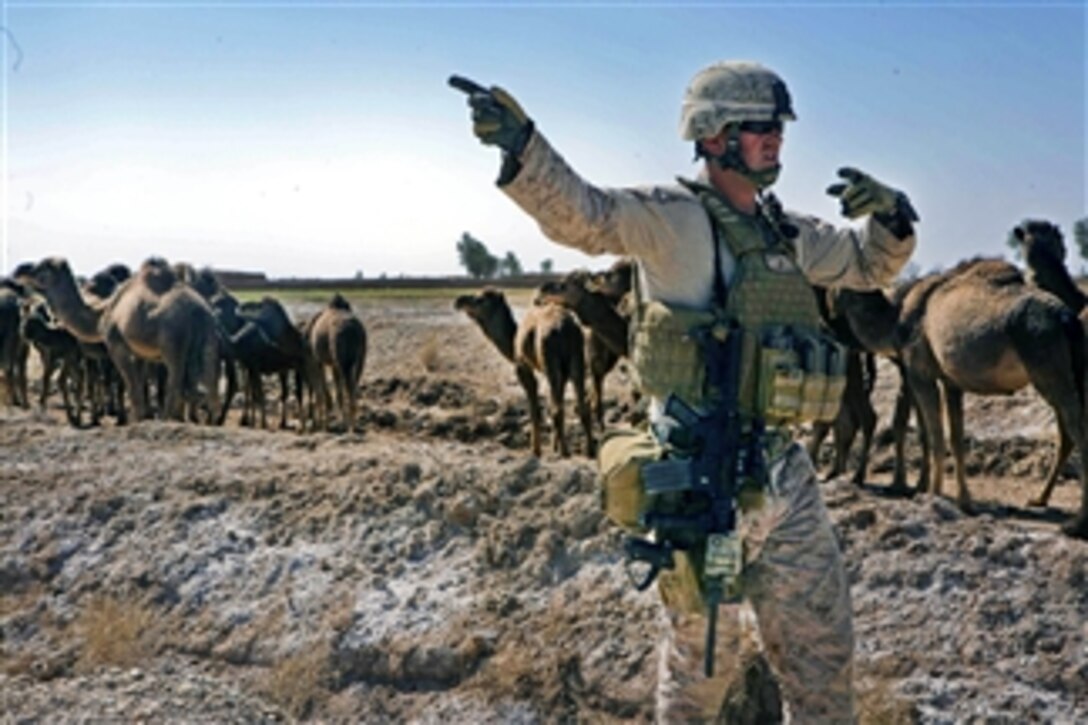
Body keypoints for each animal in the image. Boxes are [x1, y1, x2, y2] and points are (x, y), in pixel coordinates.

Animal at [26, 255, 225, 420]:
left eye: (44, 266)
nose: (24, 271)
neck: (102, 313)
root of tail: (199, 311)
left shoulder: (116, 345)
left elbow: (132, 387)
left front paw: (134, 419)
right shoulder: (141, 353)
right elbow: (139, 385)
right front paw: (143, 416)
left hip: (173, 344)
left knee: (176, 384)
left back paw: (168, 419)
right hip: (209, 339)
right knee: (209, 385)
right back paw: (210, 421)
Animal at [304, 291, 367, 428]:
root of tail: (352, 331)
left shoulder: (320, 360)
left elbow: (324, 386)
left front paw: (325, 421)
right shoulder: (332, 363)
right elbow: (336, 389)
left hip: (342, 360)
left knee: (347, 388)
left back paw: (350, 424)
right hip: (360, 358)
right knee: (353, 386)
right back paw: (352, 422)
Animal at [456, 285, 600, 455]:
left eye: (480, 299)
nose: (459, 301)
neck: (513, 342)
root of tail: (565, 329)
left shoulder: (522, 366)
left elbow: (535, 408)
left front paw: (536, 449)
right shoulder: (563, 372)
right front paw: (553, 445)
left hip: (550, 360)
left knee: (557, 409)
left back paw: (564, 452)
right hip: (577, 360)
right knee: (580, 405)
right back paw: (589, 450)